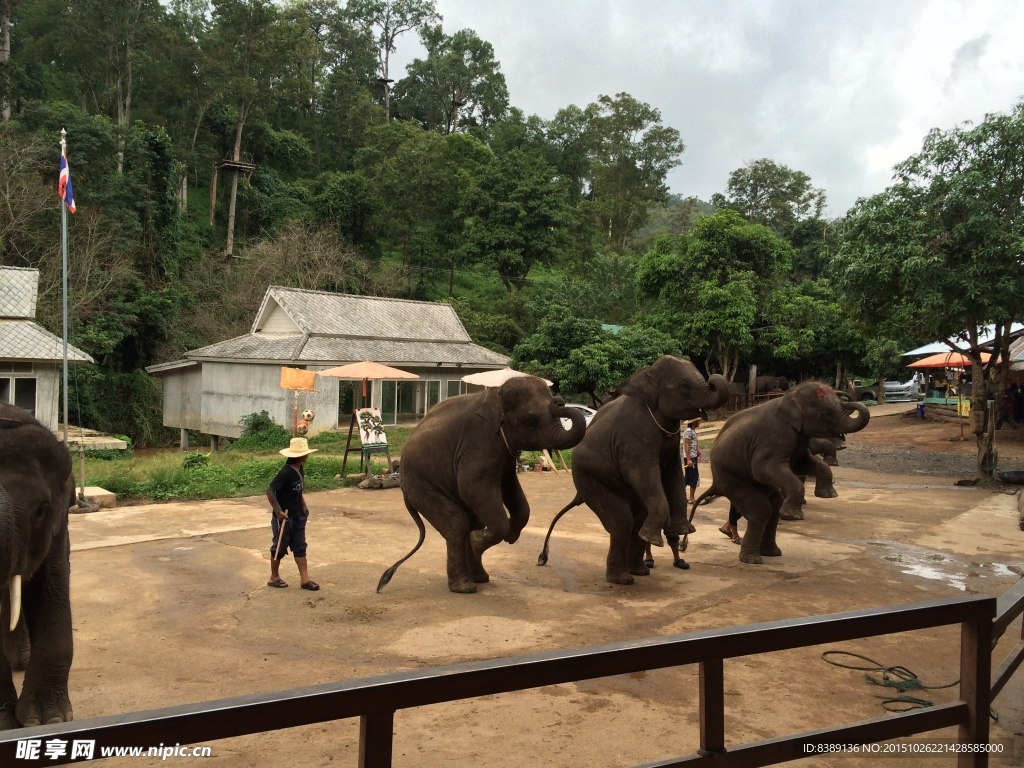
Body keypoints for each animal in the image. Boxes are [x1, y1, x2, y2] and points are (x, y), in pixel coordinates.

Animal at [378, 376, 589, 593]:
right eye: (531, 421)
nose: (559, 401)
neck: (496, 397)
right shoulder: (479, 444)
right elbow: (471, 484)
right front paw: (481, 541)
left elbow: (511, 489)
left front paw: (510, 536)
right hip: (419, 484)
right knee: (457, 524)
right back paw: (465, 587)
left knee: (472, 521)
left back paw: (479, 578)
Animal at [540, 358, 733, 585]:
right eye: (684, 385)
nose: (713, 377)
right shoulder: (635, 437)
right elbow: (641, 473)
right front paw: (657, 540)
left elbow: (674, 474)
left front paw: (684, 531)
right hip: (588, 478)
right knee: (621, 522)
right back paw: (623, 578)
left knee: (635, 520)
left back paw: (639, 571)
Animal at [692, 382, 868, 565]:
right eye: (826, 413)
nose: (847, 398)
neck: (790, 397)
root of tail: (715, 482)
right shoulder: (774, 437)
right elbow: (762, 469)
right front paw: (795, 516)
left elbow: (802, 464)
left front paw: (829, 495)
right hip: (730, 477)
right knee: (761, 509)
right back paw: (752, 559)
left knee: (773, 508)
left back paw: (771, 553)